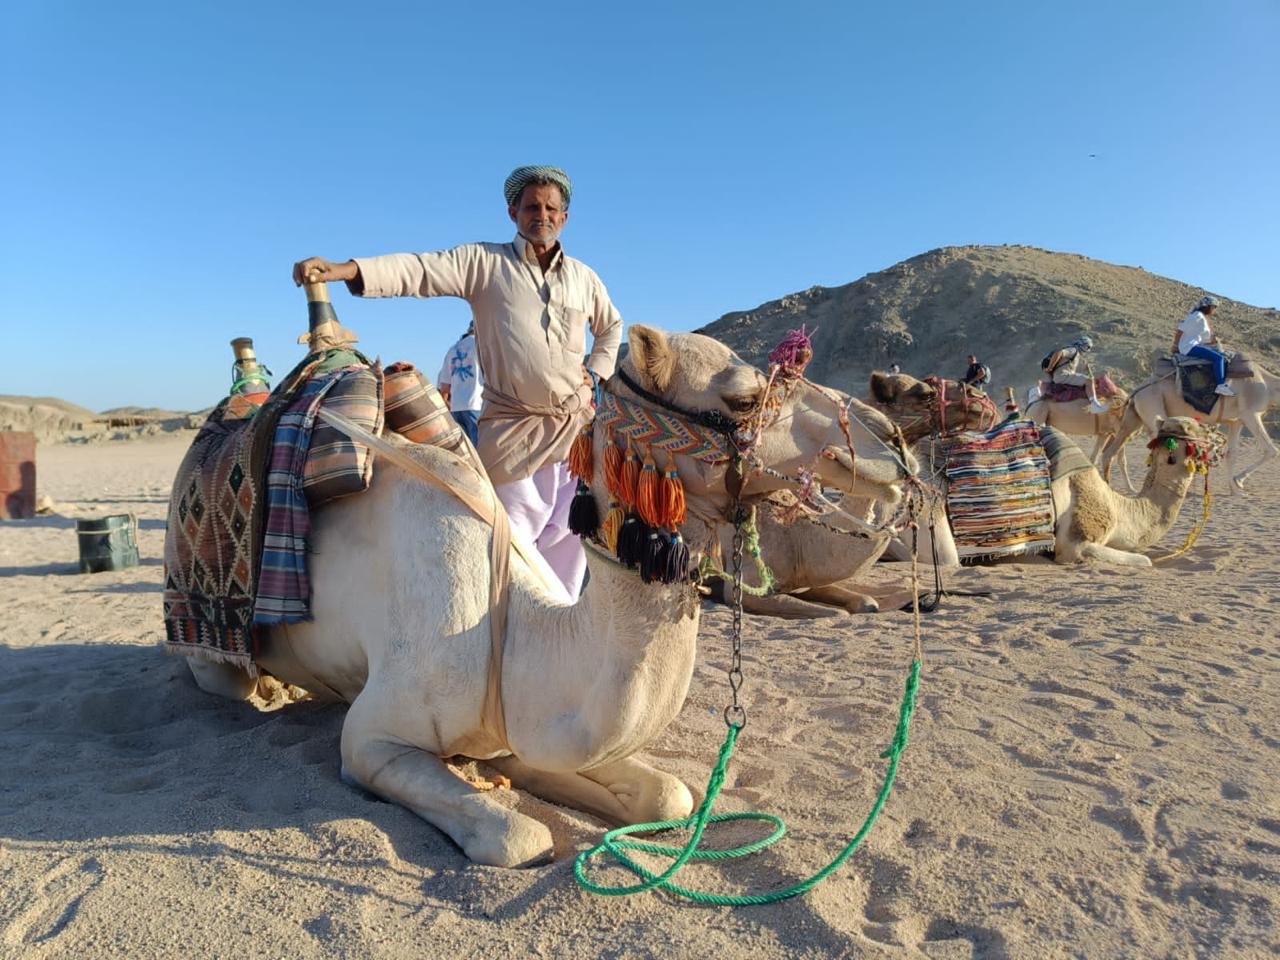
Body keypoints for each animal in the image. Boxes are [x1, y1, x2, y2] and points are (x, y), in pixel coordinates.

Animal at [183, 325, 913, 867]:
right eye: (744, 396)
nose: (889, 442)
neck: (512, 628)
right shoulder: (372, 739)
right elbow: (521, 837)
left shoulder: (520, 728)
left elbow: (667, 797)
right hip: (212, 654)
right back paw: (268, 686)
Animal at [1099, 364, 1278, 494]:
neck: (1267, 385)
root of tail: (1137, 390)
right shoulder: (1250, 414)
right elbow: (1272, 451)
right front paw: (1239, 481)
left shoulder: (1236, 421)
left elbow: (1231, 455)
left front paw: (1235, 489)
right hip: (1152, 407)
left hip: (1133, 418)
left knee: (1109, 453)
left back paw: (1112, 487)